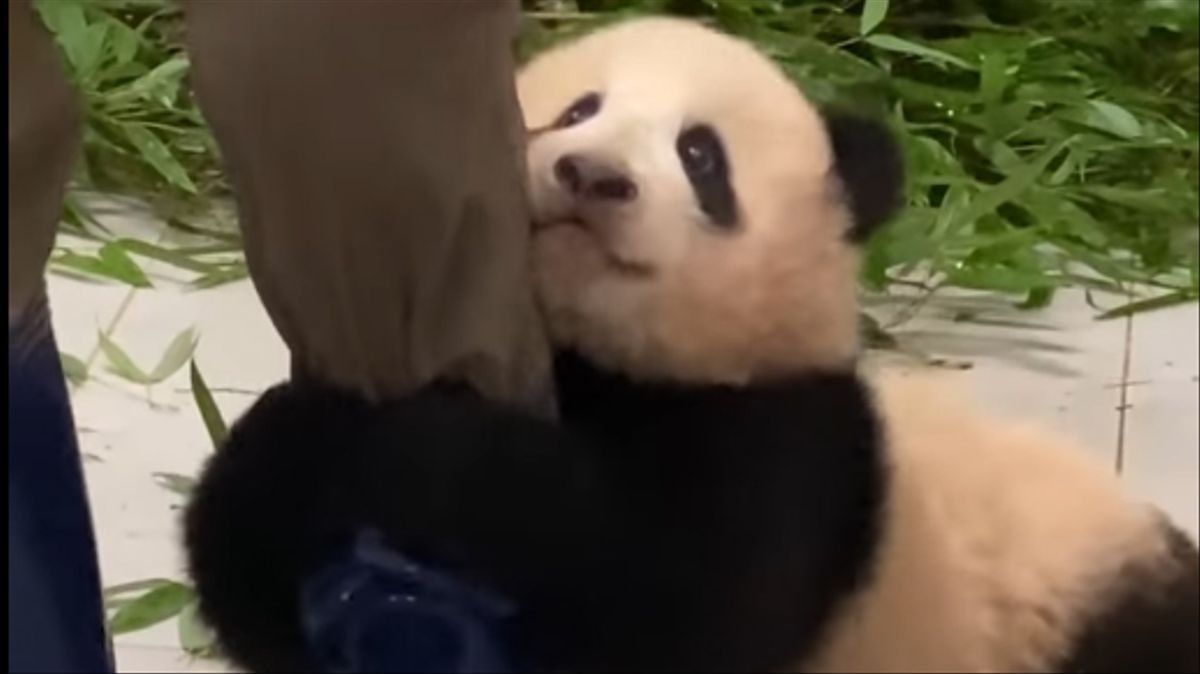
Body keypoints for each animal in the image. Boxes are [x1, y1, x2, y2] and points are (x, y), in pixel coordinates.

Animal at [184, 15, 1200, 674]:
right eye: (576, 110)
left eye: (700, 156)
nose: (591, 175)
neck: (614, 361)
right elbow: (251, 575)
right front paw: (316, 437)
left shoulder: (791, 455)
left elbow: (658, 594)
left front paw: (441, 455)